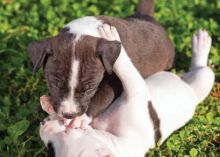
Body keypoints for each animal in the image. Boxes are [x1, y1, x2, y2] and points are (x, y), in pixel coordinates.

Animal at [27, 0, 175, 119]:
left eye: (90, 88)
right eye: (54, 85)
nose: (69, 115)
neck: (85, 31)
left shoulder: (115, 81)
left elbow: (104, 95)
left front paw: (82, 119)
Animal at [39, 24, 213, 157]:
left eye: (68, 133)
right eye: (49, 148)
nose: (42, 125)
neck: (116, 141)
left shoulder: (136, 91)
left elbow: (125, 68)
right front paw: (50, 105)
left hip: (204, 77)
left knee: (202, 68)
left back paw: (201, 45)